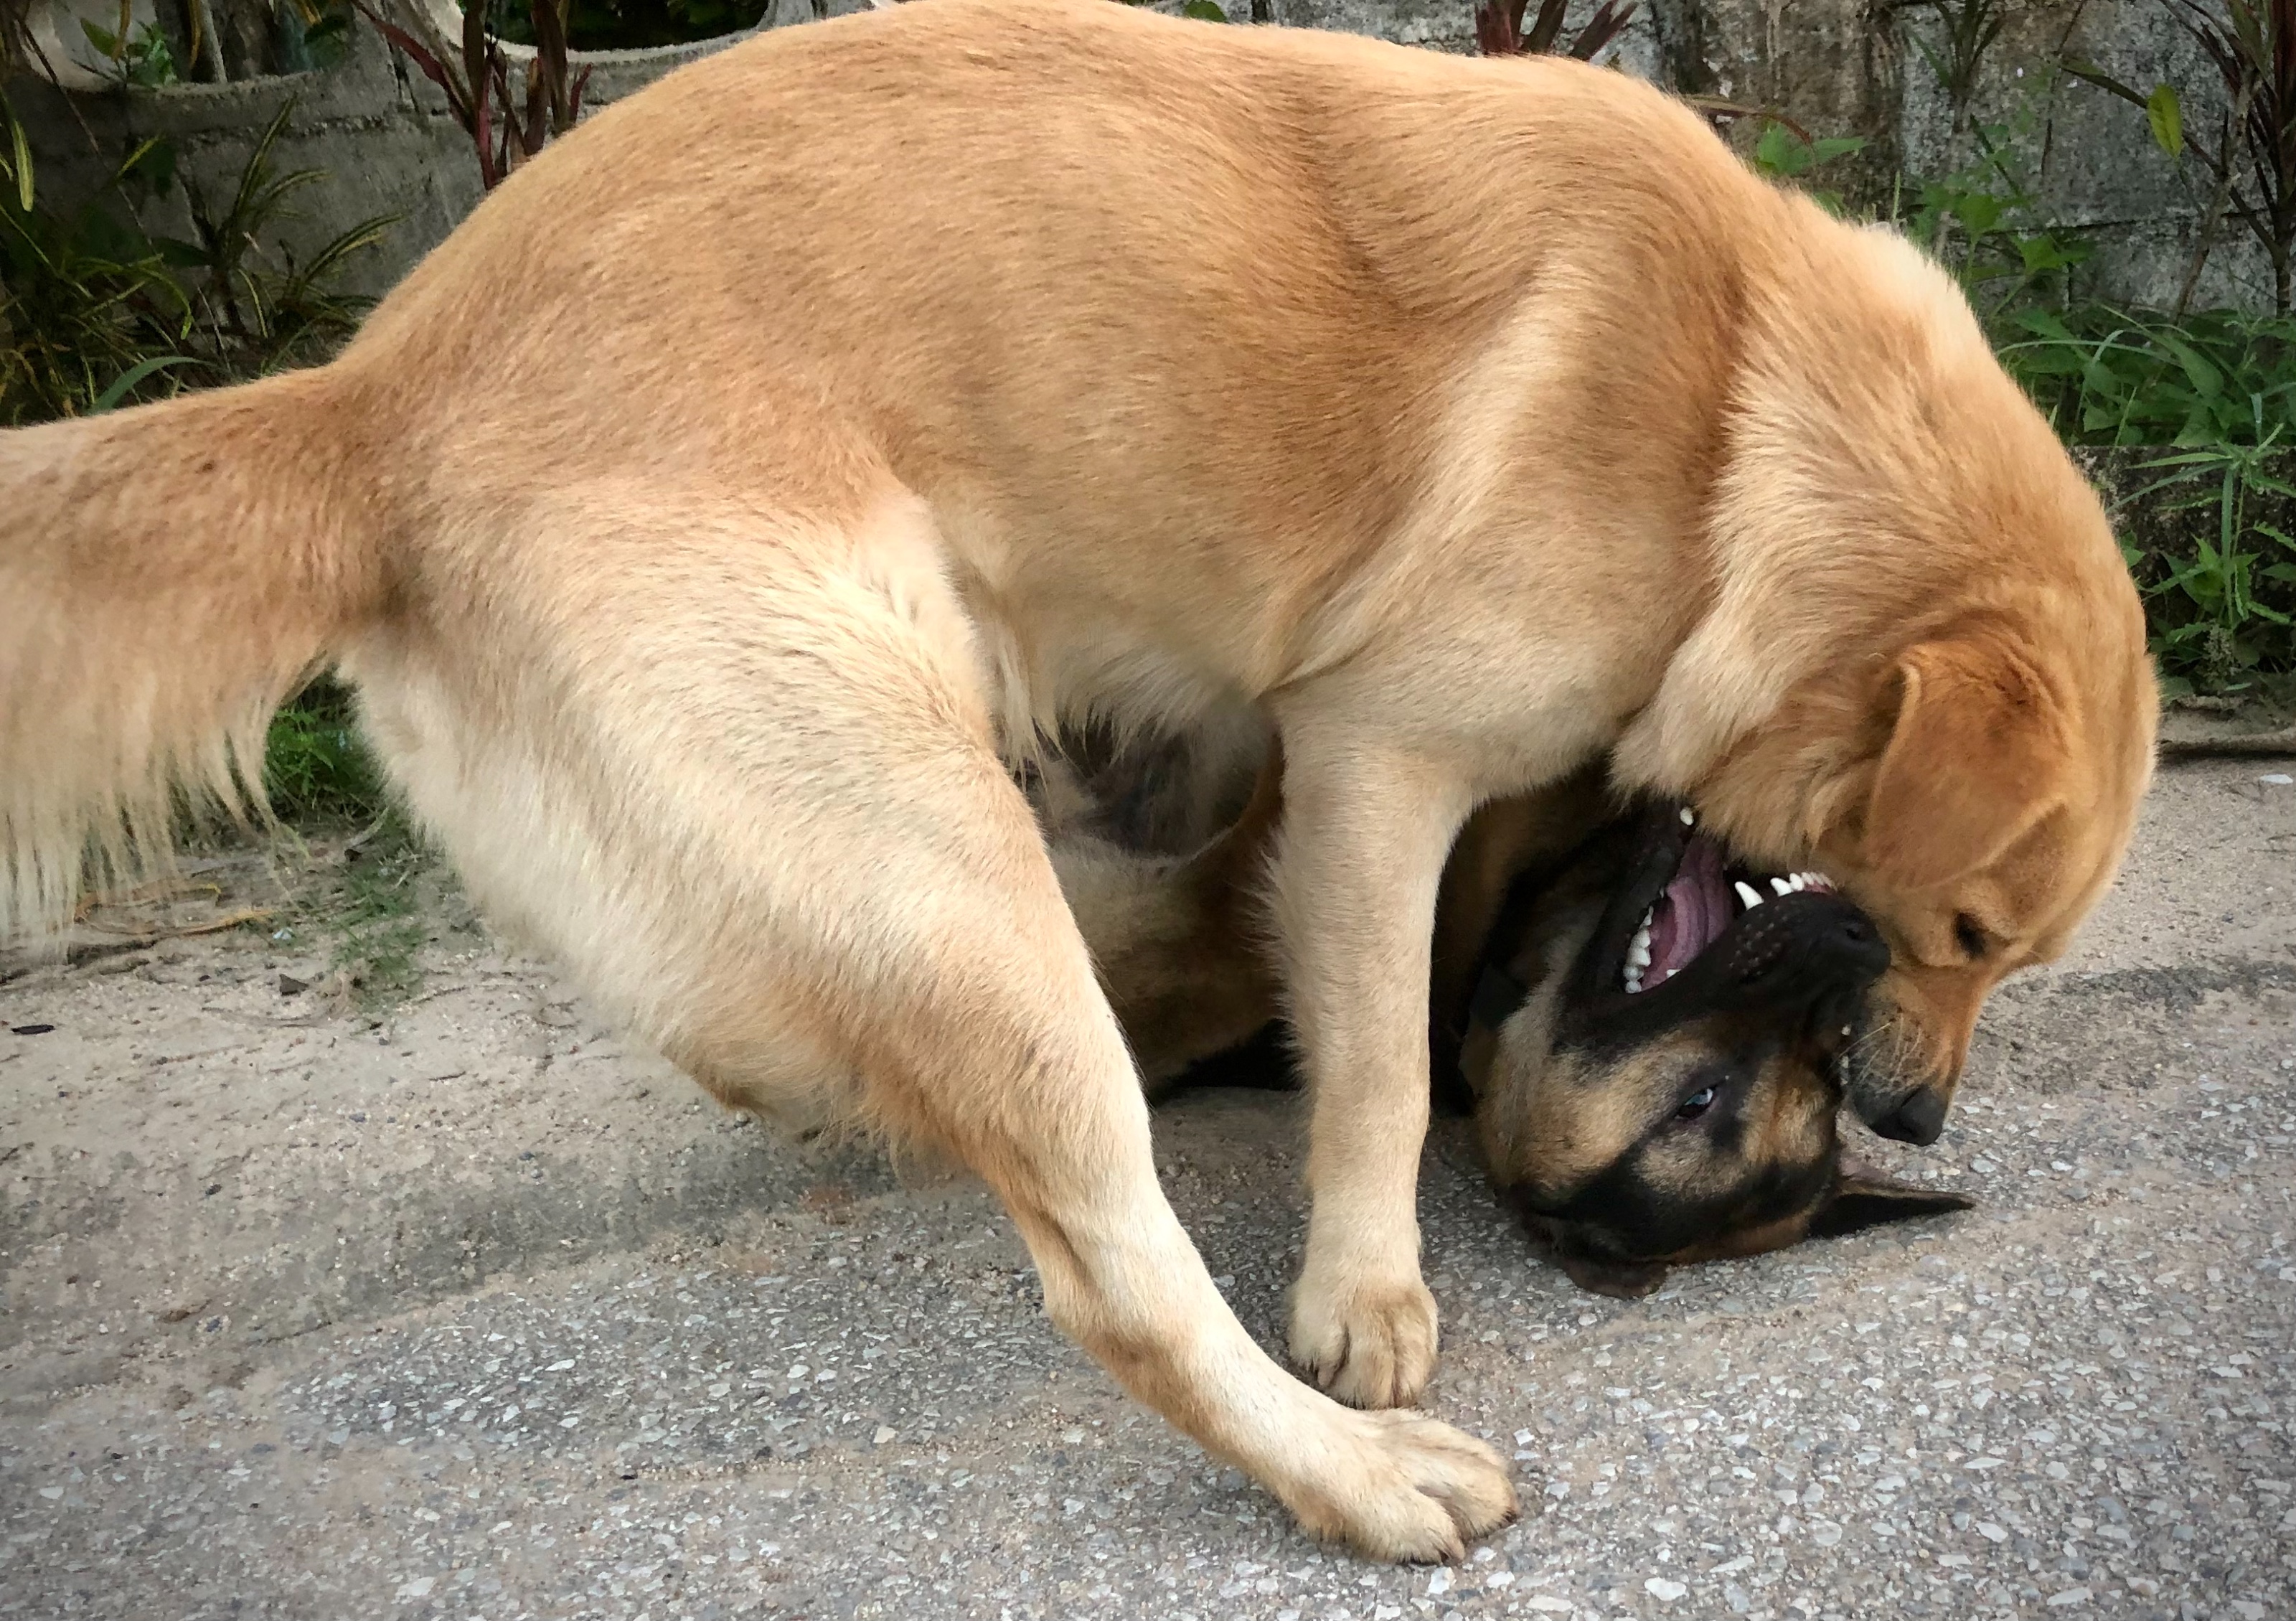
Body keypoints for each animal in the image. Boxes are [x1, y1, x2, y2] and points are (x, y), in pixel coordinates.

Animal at [0, 0, 2153, 1558]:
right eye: (1971, 928)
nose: (1919, 1114)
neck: (1740, 420)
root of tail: (369, 402)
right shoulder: (1377, 771)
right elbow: (1380, 1070)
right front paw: (1368, 1291)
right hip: (957, 893)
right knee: (1118, 1279)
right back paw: (1351, 1476)